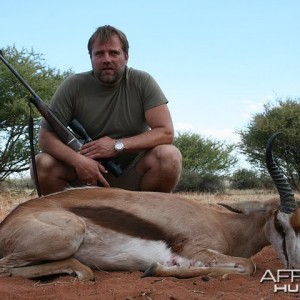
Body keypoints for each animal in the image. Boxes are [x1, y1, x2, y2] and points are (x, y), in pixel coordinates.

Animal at [0, 132, 298, 280]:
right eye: (279, 224)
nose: (294, 269)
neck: (226, 226)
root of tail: (9, 221)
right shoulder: (194, 250)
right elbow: (248, 266)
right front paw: (156, 269)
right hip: (70, 234)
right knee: (6, 267)